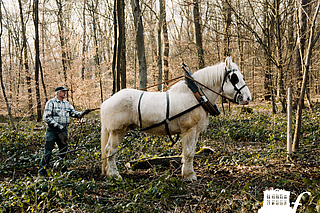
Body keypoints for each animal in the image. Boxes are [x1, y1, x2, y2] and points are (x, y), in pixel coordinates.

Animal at [101, 57, 251, 181]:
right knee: (110, 150)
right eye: (234, 78)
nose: (248, 98)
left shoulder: (196, 131)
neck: (196, 96)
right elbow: (188, 152)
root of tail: (106, 102)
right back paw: (114, 174)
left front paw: (187, 172)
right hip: (117, 131)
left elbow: (191, 152)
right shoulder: (189, 129)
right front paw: (189, 175)